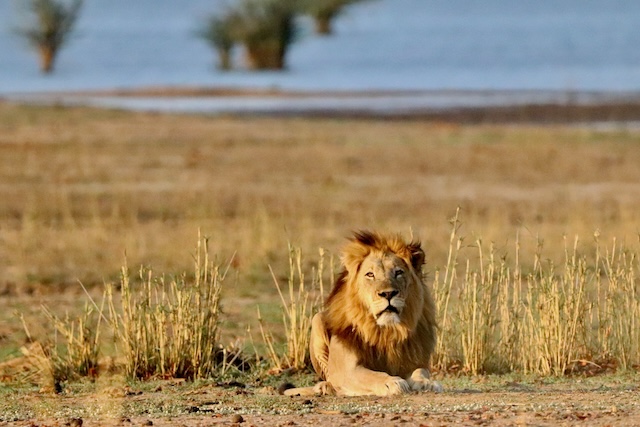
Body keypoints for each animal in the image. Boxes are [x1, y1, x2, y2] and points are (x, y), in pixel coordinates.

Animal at [284, 231, 442, 396]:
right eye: (370, 274)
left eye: (398, 272)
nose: (388, 294)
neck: (387, 331)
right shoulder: (348, 369)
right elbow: (372, 375)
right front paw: (392, 382)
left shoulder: (415, 360)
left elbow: (420, 371)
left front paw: (427, 383)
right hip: (317, 319)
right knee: (329, 376)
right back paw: (325, 387)